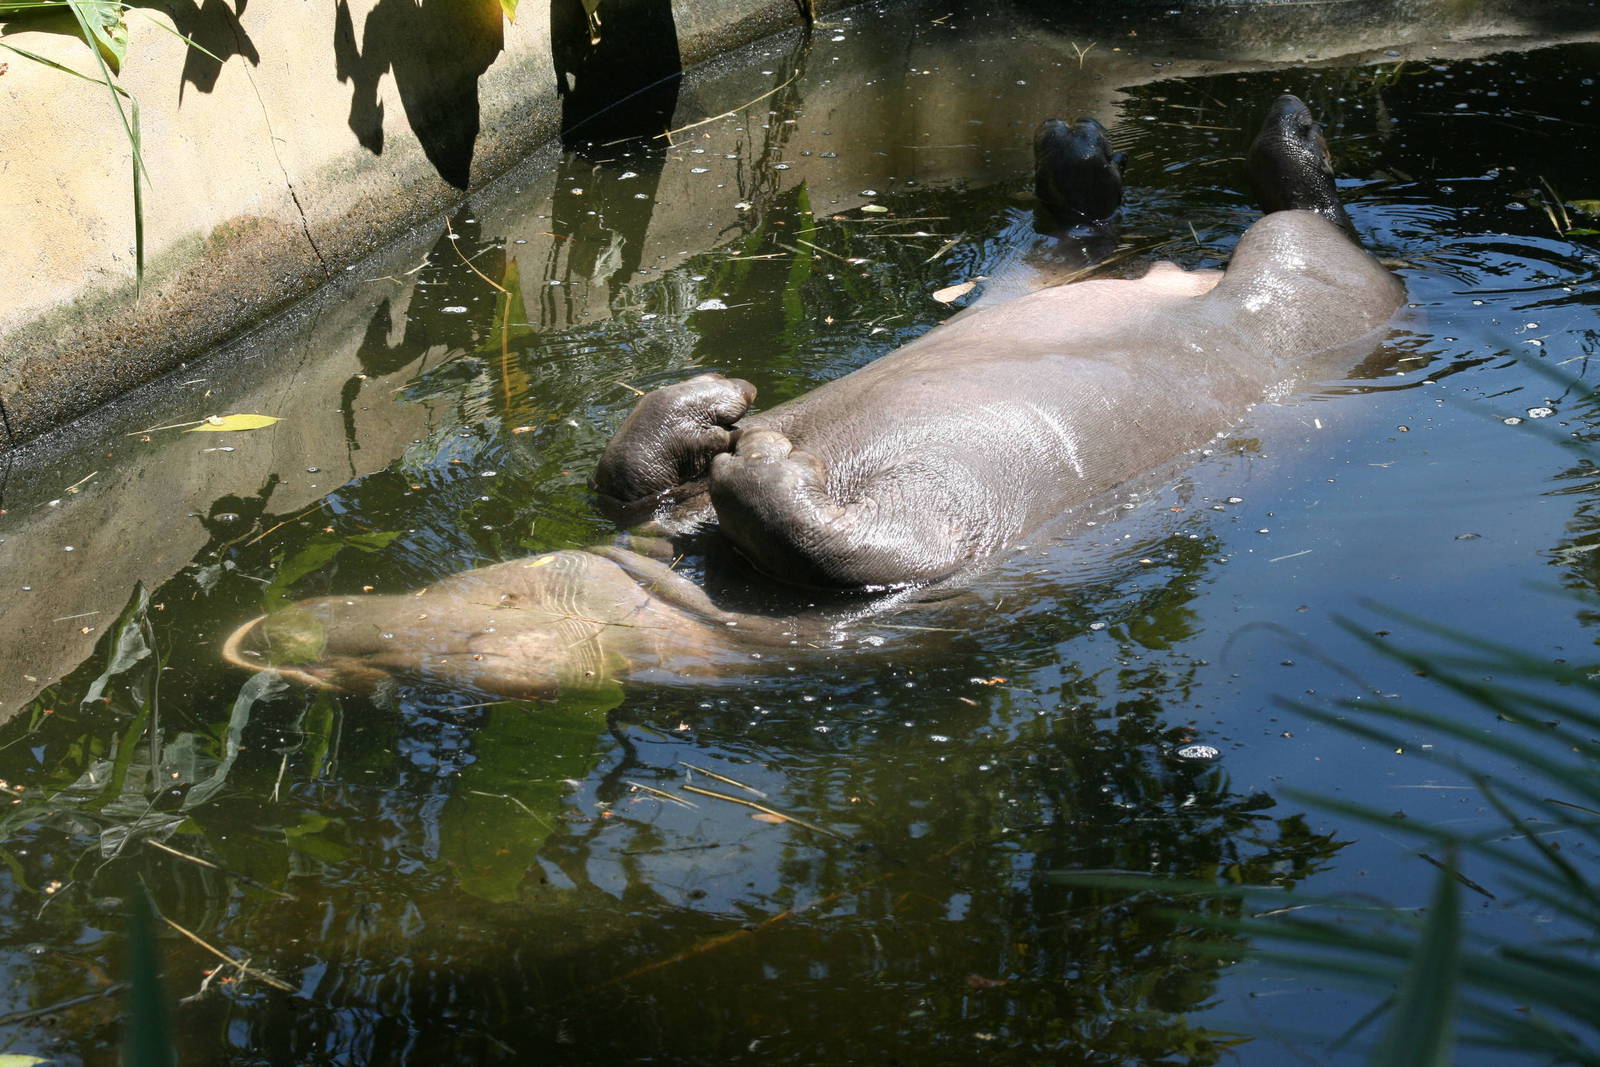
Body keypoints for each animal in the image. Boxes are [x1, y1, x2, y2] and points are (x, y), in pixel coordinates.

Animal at [224, 95, 1402, 699]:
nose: (273, 632)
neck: (665, 589)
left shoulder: (921, 569)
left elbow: (785, 525)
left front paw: (727, 419)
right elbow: (732, 509)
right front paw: (733, 434)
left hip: (1289, 279)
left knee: (1297, 213)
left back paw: (1197, 134)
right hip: (1117, 273)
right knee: (1116, 225)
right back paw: (1095, 147)